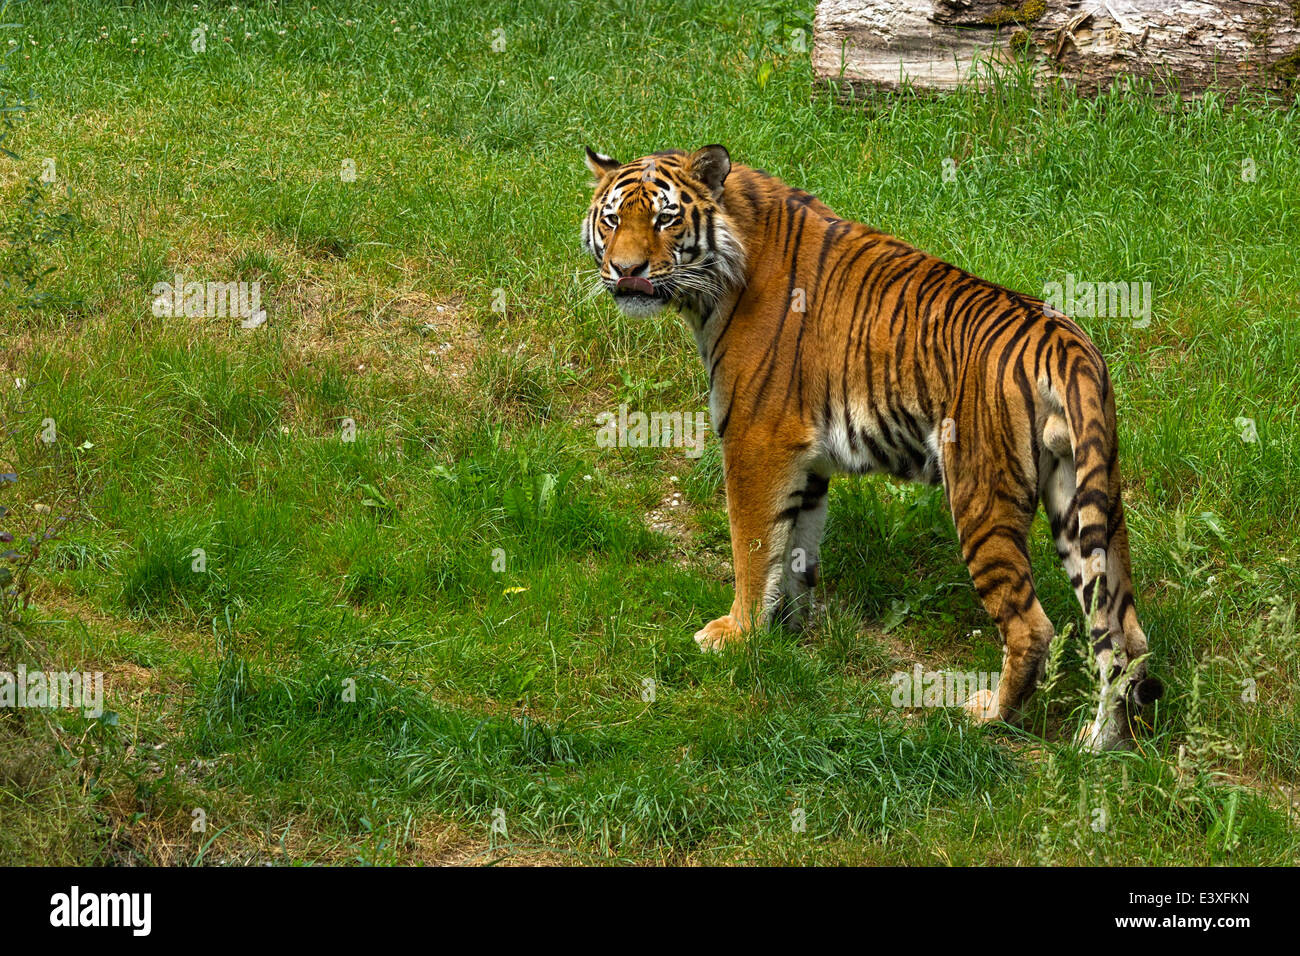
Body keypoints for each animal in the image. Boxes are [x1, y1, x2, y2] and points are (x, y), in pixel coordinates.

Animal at [585, 145, 1164, 749]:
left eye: (665, 219)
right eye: (612, 220)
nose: (626, 272)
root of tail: (1069, 345)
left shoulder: (754, 439)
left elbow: (753, 548)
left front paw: (737, 634)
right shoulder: (806, 459)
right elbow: (796, 550)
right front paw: (788, 632)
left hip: (981, 496)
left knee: (1034, 627)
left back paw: (990, 715)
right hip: (1086, 501)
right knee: (1125, 634)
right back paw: (1101, 745)